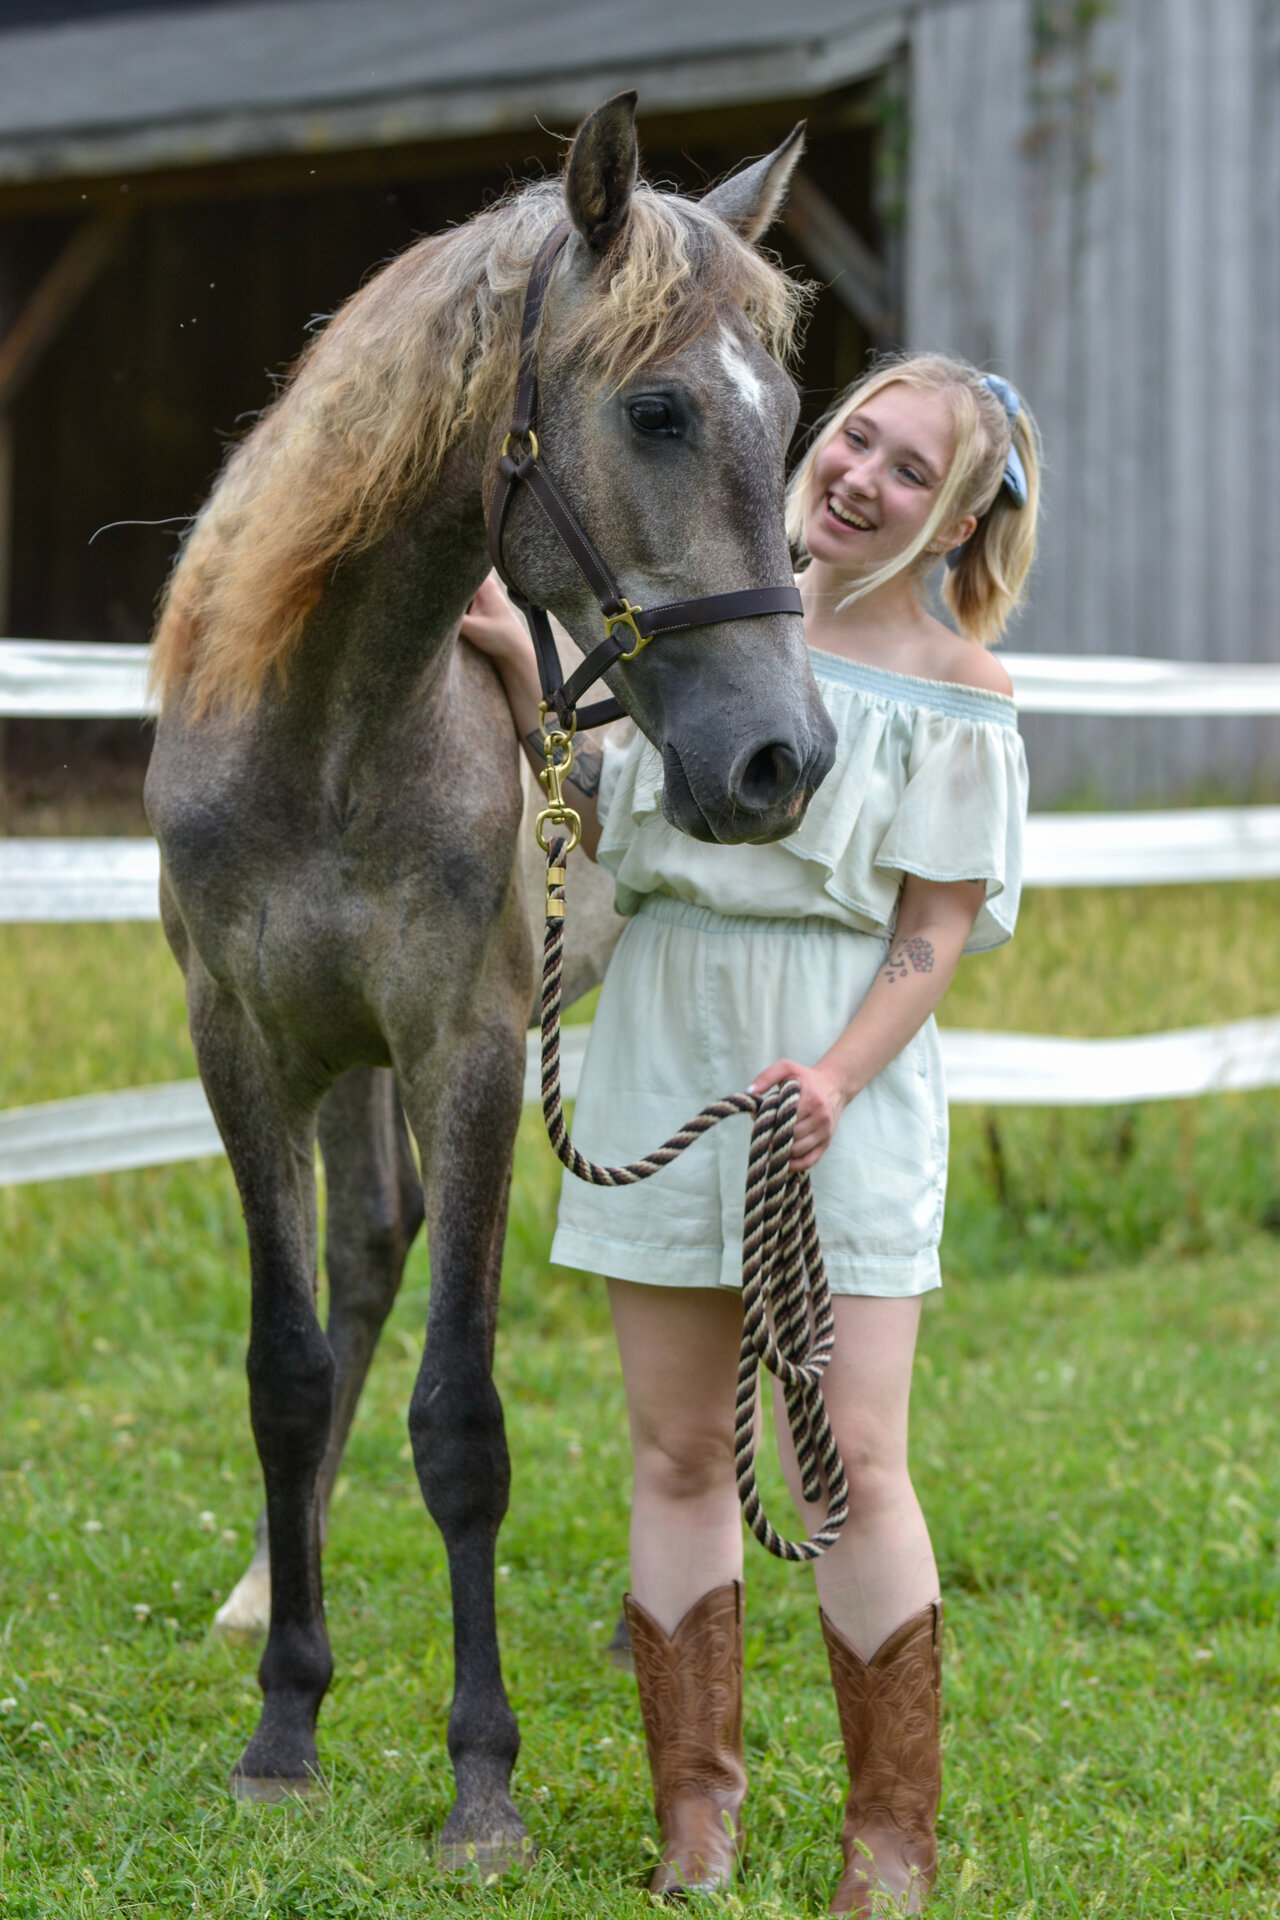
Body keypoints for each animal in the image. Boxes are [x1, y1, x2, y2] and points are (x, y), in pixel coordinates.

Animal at [145, 91, 836, 1867]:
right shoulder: (248, 1044)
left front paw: (481, 1781)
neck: (330, 725)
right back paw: (263, 1590)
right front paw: (284, 1727)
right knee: (365, 1255)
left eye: (790, 418)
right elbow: (287, 1368)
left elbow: (460, 1418)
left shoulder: (467, 1048)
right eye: (658, 407)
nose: (781, 761)